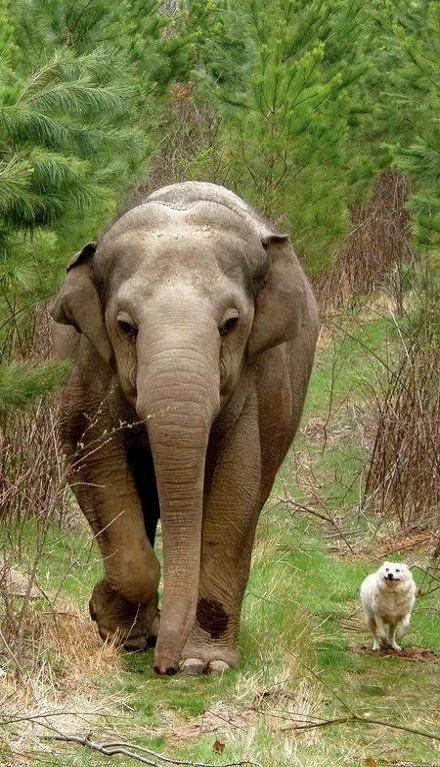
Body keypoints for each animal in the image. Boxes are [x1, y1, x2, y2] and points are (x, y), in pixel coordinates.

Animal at [51, 181, 320, 676]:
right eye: (125, 326)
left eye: (230, 324)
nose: (165, 667)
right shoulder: (89, 367)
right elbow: (93, 459)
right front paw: (113, 627)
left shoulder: (254, 383)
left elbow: (235, 492)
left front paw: (205, 665)